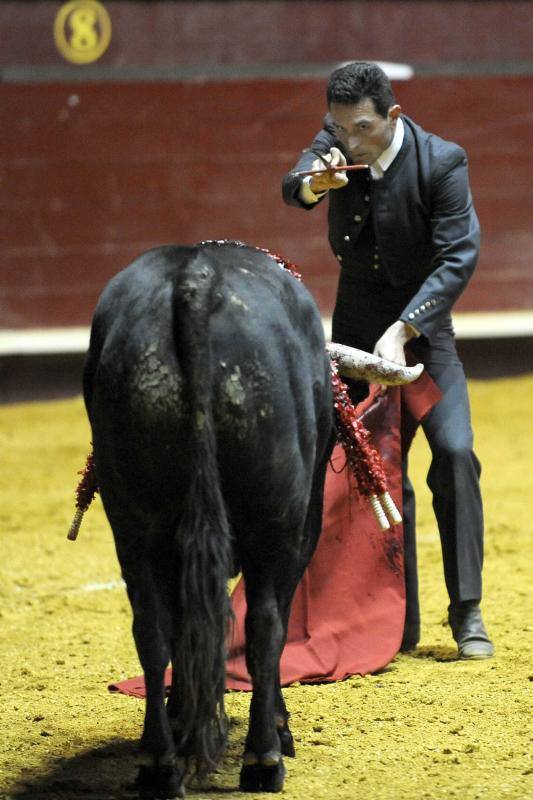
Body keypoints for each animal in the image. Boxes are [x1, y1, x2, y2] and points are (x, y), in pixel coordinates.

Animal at [85, 242, 338, 792]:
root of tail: (195, 276)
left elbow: (184, 625)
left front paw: (182, 718)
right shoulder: (301, 525)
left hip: (131, 520)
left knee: (154, 627)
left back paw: (159, 762)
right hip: (275, 520)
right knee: (265, 625)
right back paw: (264, 757)